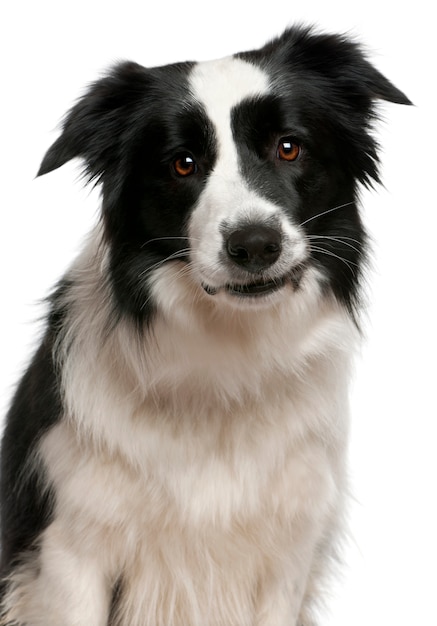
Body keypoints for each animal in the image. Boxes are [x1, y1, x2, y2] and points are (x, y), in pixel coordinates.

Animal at [0, 24, 408, 624]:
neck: (225, 360)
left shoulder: (285, 555)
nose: (255, 244)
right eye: (183, 163)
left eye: (289, 146)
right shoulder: (68, 551)